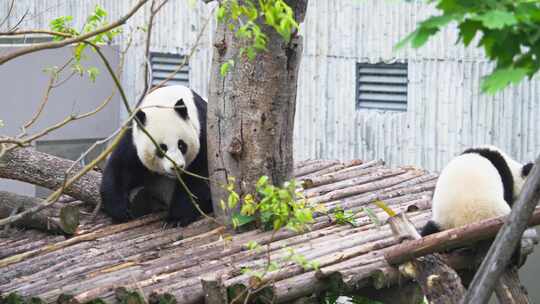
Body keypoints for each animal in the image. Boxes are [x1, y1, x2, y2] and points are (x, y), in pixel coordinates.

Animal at [100, 84, 212, 227]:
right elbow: (120, 166)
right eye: (161, 149)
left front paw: (176, 218)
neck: (164, 100)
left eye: (181, 145)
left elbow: (197, 178)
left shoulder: (202, 132)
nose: (177, 167)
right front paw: (121, 210)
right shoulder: (133, 136)